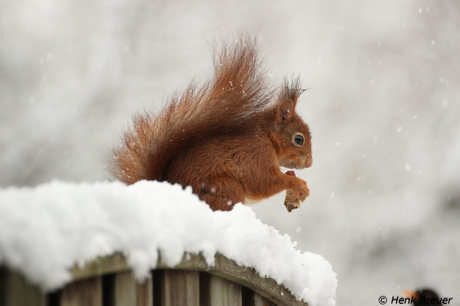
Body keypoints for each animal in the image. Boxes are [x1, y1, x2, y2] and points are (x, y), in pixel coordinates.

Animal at [110, 35, 312, 210]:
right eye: (299, 139)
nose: (309, 164)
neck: (266, 136)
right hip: (226, 188)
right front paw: (297, 183)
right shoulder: (256, 155)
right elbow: (263, 182)